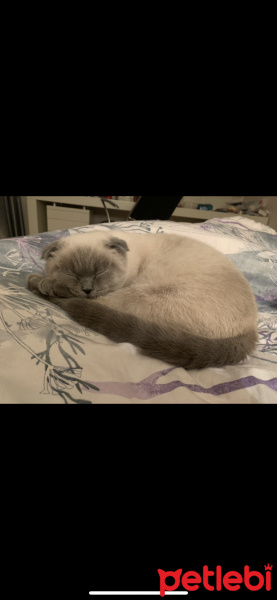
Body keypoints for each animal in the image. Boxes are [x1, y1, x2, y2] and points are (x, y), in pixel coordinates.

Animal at [27, 231, 258, 368]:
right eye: (72, 273)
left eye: (101, 271)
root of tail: (251, 329)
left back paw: (38, 285)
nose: (87, 289)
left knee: (81, 304)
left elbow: (62, 289)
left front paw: (43, 281)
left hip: (141, 295)